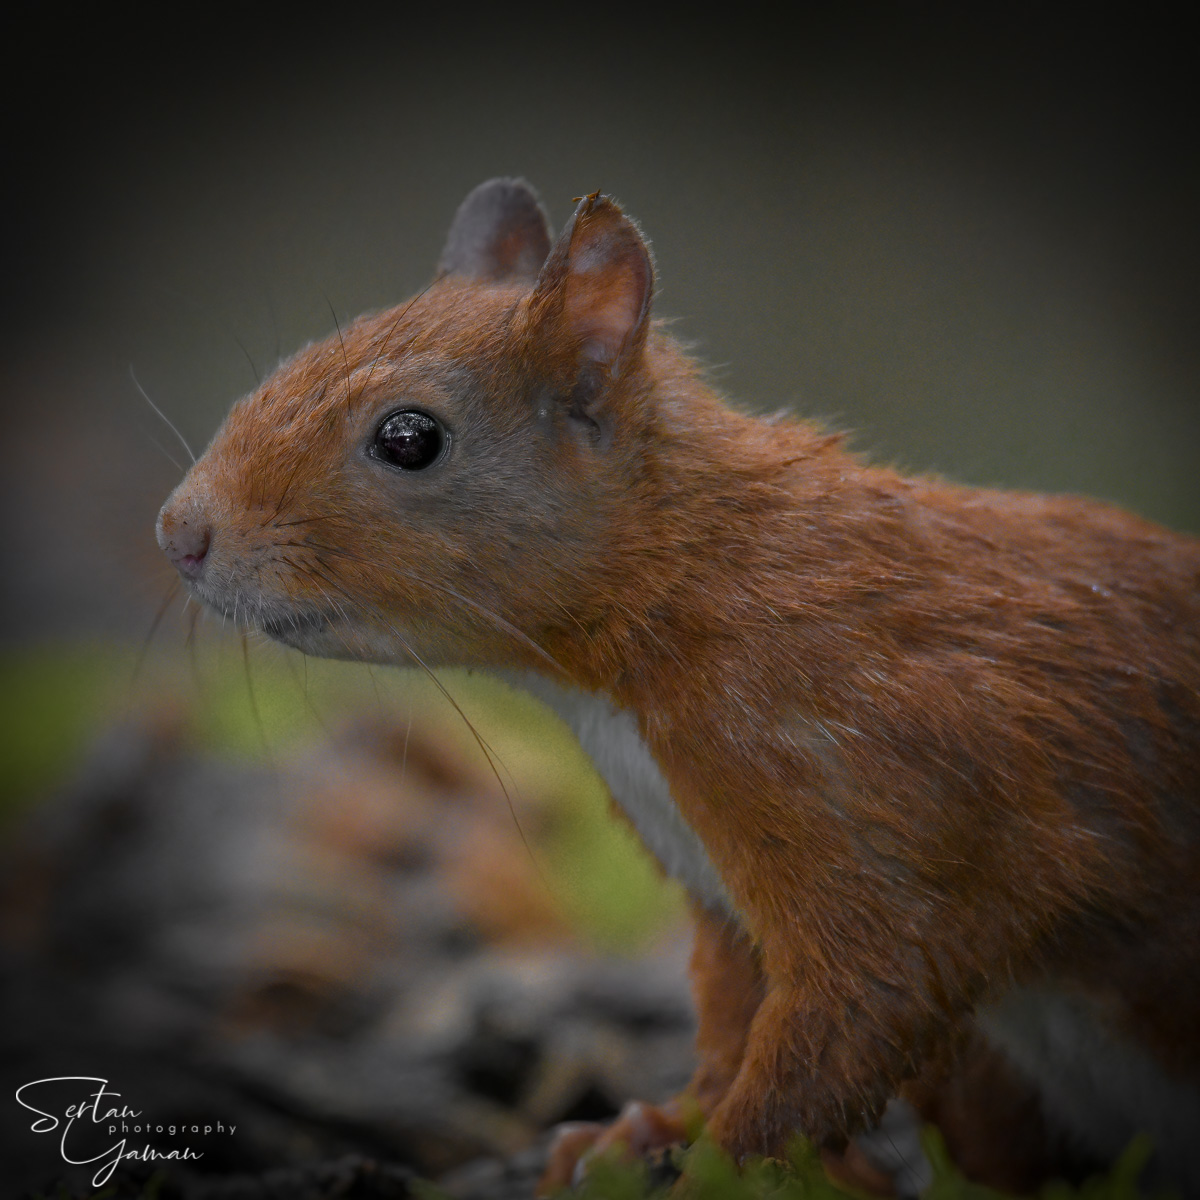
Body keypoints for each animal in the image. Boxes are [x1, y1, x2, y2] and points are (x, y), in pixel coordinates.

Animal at [157, 178, 1200, 1196]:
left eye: (409, 437)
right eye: (294, 359)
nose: (177, 533)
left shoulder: (884, 797)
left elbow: (855, 1007)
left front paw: (720, 1166)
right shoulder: (716, 882)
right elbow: (734, 1017)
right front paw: (651, 1129)